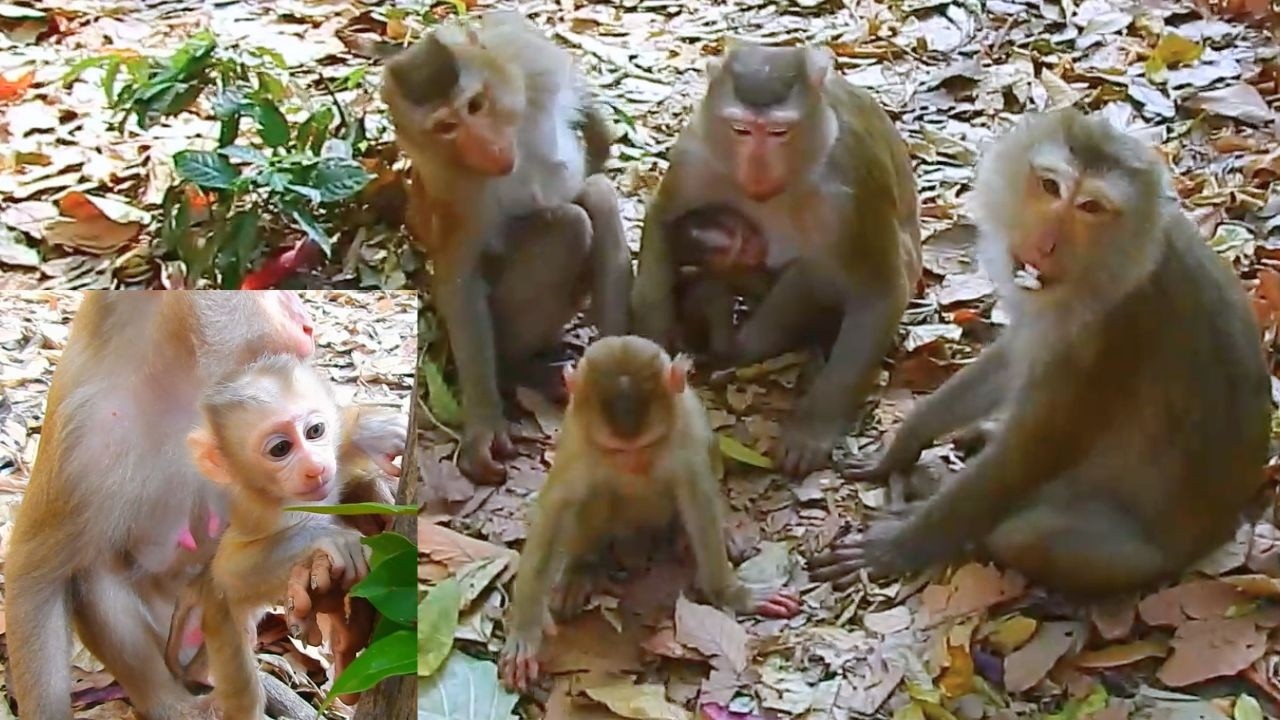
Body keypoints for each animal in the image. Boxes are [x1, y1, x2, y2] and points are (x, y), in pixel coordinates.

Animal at [165, 354, 402, 717]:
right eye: (280, 449)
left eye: (315, 431)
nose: (315, 467)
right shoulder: (259, 511)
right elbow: (230, 572)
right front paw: (329, 537)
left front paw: (372, 432)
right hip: (220, 618)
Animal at [382, 10, 632, 485]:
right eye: (447, 127)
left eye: (476, 105)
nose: (485, 145)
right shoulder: (450, 178)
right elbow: (459, 275)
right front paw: (483, 423)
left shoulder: (532, 60)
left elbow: (595, 138)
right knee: (571, 223)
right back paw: (519, 368)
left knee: (596, 196)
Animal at [497, 336, 802, 693]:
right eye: (618, 450)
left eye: (644, 446)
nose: (633, 465)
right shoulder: (578, 441)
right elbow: (557, 508)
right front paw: (524, 631)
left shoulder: (685, 433)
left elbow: (697, 497)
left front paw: (732, 593)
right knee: (595, 495)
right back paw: (580, 568)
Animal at [631, 41, 922, 478]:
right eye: (741, 130)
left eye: (779, 132)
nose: (757, 169)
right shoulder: (696, 152)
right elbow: (663, 218)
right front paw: (653, 345)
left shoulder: (852, 186)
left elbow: (880, 291)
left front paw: (813, 428)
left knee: (816, 272)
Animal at [809, 108, 1271, 598]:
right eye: (1050, 186)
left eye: (1091, 207)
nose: (1046, 243)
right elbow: (1012, 358)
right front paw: (903, 444)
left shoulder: (1107, 335)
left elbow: (1029, 454)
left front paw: (895, 546)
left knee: (1023, 535)